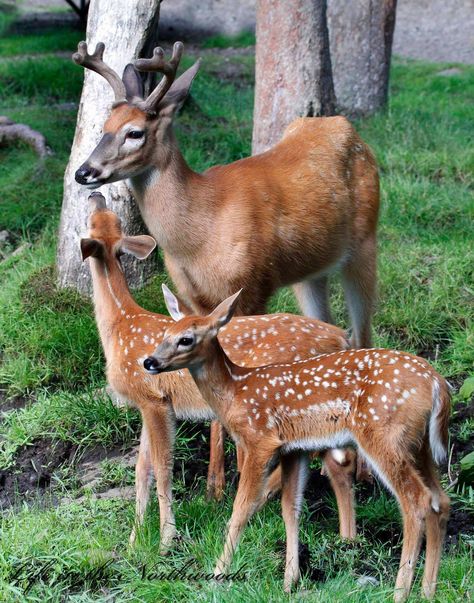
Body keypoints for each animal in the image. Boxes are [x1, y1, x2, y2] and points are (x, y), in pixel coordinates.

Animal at [73, 39, 378, 500]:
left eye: (135, 132)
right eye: (104, 126)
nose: (83, 172)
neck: (199, 231)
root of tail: (347, 126)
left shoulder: (252, 284)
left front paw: (238, 470)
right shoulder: (190, 295)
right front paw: (215, 483)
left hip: (364, 244)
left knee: (363, 333)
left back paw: (359, 471)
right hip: (311, 272)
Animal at [81, 193, 358, 552]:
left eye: (94, 219)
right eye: (107, 220)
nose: (95, 194)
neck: (120, 324)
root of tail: (341, 337)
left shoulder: (153, 399)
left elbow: (162, 466)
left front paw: (165, 540)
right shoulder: (150, 402)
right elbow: (142, 469)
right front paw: (133, 541)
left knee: (332, 461)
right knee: (339, 459)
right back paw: (345, 538)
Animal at [146, 290, 450, 600]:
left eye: (186, 339)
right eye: (165, 334)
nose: (150, 362)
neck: (236, 392)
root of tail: (438, 384)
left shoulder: (261, 441)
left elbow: (241, 509)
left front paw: (218, 575)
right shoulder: (294, 449)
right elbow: (291, 508)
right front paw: (288, 582)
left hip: (383, 435)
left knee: (416, 502)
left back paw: (400, 593)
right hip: (419, 446)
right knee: (440, 500)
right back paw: (428, 591)